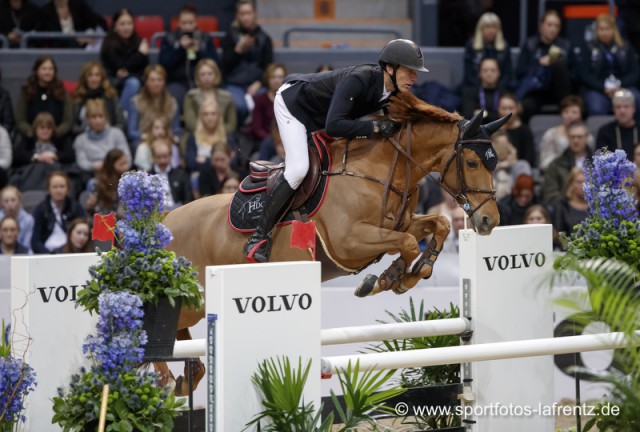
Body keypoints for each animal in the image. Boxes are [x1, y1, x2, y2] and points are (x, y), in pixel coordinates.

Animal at [160, 91, 510, 394]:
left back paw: (187, 378)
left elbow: (436, 226)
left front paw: (411, 273)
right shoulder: (349, 242)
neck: (381, 168)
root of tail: (162, 223)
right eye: (473, 163)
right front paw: (386, 279)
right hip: (195, 300)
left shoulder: (395, 225)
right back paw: (166, 378)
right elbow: (409, 242)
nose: (489, 221)